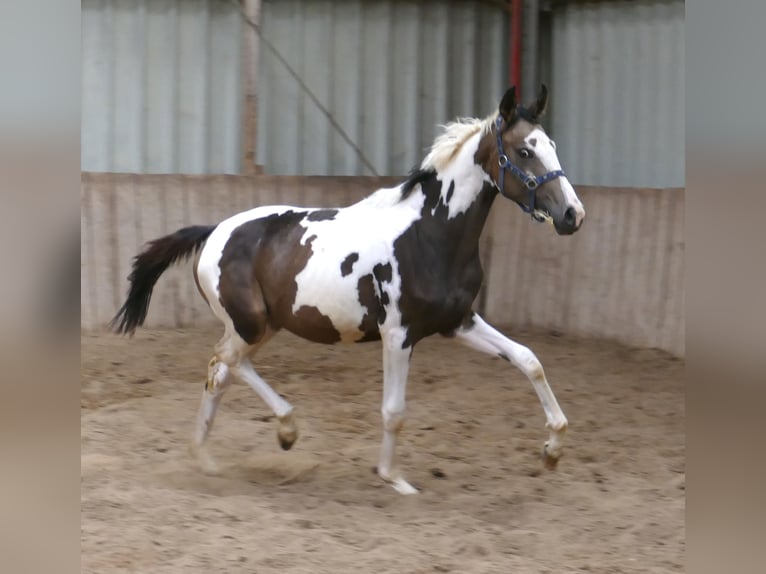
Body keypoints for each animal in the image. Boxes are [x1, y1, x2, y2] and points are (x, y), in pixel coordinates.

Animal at [111, 85, 585, 495]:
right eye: (524, 151)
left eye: (553, 145)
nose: (572, 215)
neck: (430, 234)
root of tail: (213, 232)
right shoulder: (398, 335)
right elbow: (394, 411)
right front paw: (394, 478)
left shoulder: (459, 322)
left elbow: (529, 360)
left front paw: (552, 450)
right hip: (250, 324)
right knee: (226, 361)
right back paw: (285, 429)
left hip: (263, 327)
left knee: (220, 371)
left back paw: (207, 457)